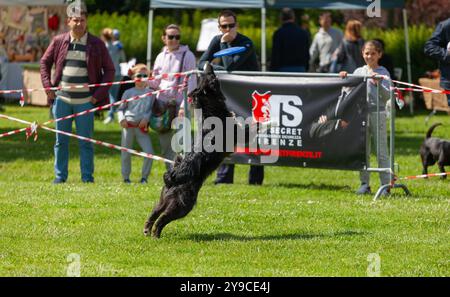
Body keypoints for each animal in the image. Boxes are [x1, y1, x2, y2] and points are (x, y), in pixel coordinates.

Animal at [144, 63, 237, 237]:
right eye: (211, 77)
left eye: (206, 76)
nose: (209, 64)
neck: (210, 110)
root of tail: (172, 176)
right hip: (183, 205)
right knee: (163, 218)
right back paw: (156, 234)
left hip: (164, 199)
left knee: (154, 211)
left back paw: (147, 229)